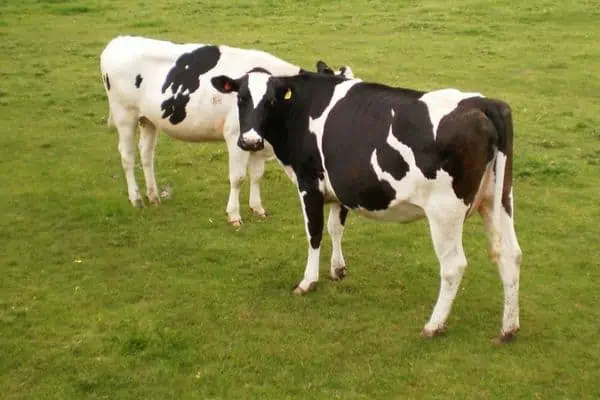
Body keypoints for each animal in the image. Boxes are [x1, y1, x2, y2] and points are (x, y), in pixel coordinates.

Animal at [98, 35, 352, 225]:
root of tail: (118, 41)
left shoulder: (257, 142)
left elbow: (257, 175)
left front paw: (258, 209)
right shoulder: (236, 136)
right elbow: (238, 177)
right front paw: (234, 215)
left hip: (148, 119)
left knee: (146, 155)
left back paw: (153, 195)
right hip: (125, 115)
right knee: (127, 157)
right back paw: (136, 199)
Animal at [213, 71, 524, 340]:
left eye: (271, 101)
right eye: (241, 98)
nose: (250, 141)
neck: (302, 109)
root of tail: (484, 102)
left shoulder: (309, 183)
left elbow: (314, 233)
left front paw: (308, 281)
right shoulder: (341, 188)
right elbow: (335, 228)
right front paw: (338, 270)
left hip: (445, 210)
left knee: (453, 266)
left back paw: (433, 325)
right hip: (498, 199)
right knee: (511, 255)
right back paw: (508, 328)